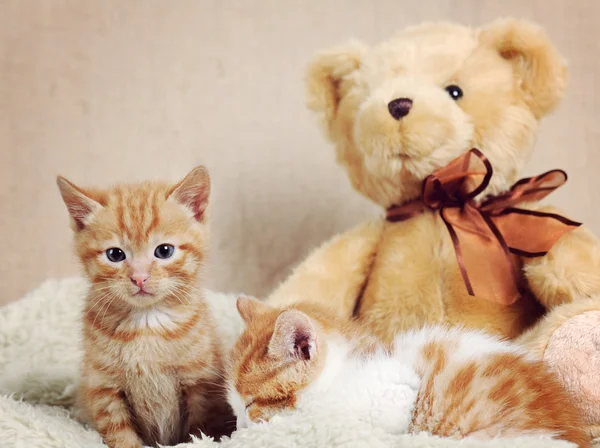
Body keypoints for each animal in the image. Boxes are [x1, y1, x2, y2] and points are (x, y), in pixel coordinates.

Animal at [56, 167, 234, 448]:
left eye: (164, 250)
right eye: (115, 255)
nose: (139, 278)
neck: (147, 323)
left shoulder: (199, 382)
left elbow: (199, 429)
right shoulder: (104, 388)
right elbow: (119, 433)